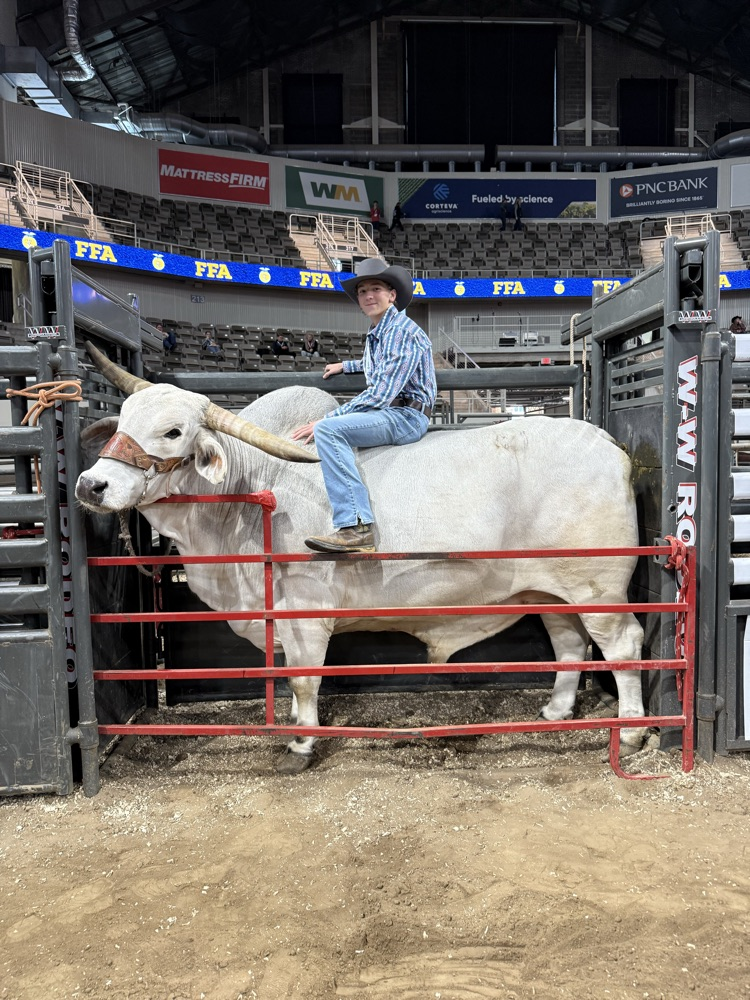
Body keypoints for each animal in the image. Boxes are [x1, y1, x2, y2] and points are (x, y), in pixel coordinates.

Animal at [75, 342, 647, 773]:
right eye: (123, 420)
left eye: (173, 431)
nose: (91, 485)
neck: (254, 487)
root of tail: (608, 445)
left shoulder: (306, 616)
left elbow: (304, 680)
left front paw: (302, 744)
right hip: (549, 590)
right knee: (569, 644)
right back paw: (556, 710)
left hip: (599, 591)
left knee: (623, 647)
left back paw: (633, 732)